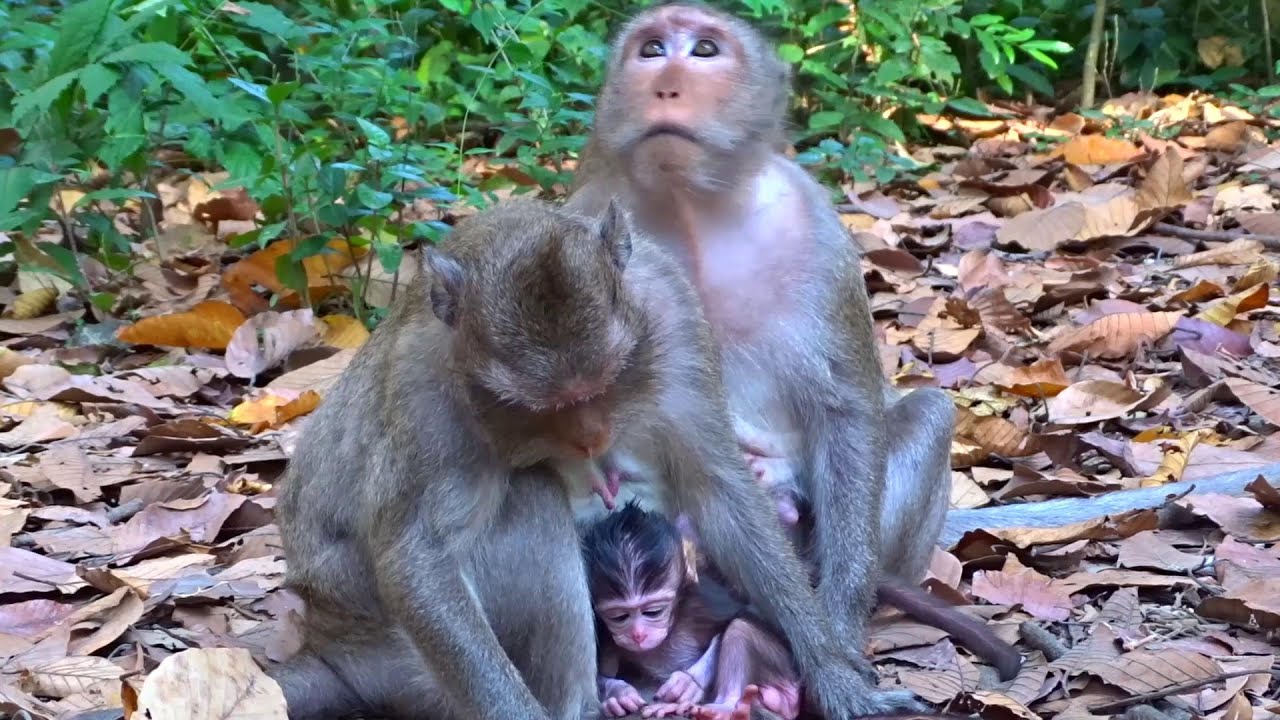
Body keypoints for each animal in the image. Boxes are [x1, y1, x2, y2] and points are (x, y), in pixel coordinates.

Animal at [582, 502, 801, 720]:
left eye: (653, 612)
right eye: (619, 617)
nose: (638, 634)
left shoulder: (703, 601)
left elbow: (745, 613)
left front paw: (688, 682)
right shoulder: (600, 629)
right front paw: (617, 693)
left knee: (741, 629)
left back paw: (724, 707)